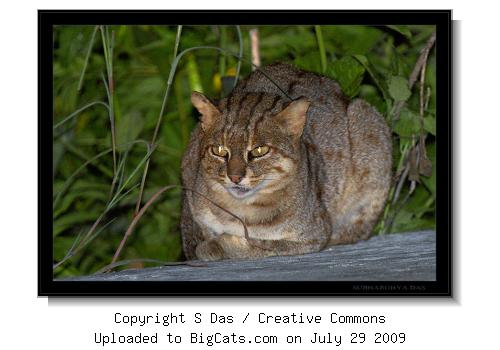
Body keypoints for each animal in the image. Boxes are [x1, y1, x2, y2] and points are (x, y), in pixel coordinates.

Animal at [180, 63, 390, 260]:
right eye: (219, 151)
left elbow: (257, 245)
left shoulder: (314, 235)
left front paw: (219, 245)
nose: (234, 177)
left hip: (367, 120)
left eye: (259, 151)